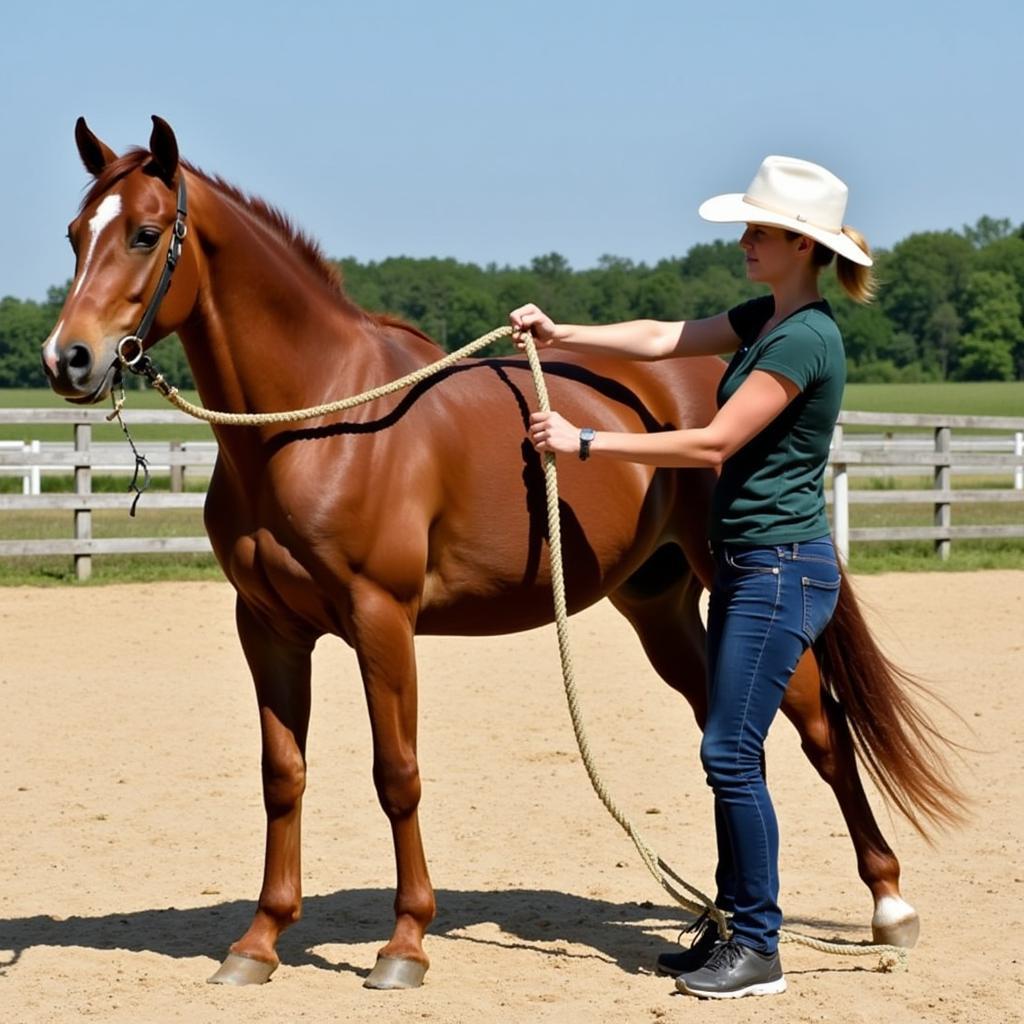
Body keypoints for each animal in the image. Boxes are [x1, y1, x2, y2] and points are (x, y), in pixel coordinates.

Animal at [41, 116, 958, 987]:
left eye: (146, 233)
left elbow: (397, 774)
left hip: (738, 594)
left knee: (818, 730)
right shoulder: (266, 626)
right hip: (660, 607)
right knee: (732, 739)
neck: (320, 419)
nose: (67, 359)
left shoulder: (381, 619)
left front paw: (405, 945)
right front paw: (260, 941)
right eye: (75, 232)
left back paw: (888, 907)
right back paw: (722, 920)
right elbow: (282, 776)